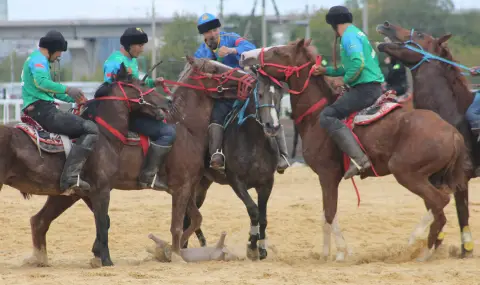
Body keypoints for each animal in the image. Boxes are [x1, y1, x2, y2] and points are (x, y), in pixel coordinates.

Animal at [0, 62, 168, 266]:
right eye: (140, 84)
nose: (168, 102)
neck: (105, 136)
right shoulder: (101, 190)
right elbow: (102, 223)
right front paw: (106, 260)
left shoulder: (85, 192)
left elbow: (105, 221)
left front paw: (97, 255)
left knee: (38, 221)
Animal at [182, 65, 284, 260]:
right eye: (260, 94)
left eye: (279, 96)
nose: (272, 126)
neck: (254, 142)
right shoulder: (236, 181)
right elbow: (253, 211)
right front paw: (251, 246)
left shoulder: (267, 183)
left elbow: (263, 217)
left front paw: (261, 248)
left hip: (202, 185)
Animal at [242, 38, 466, 260]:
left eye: (279, 52)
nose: (245, 56)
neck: (317, 115)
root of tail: (453, 133)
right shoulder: (328, 178)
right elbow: (328, 216)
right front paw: (333, 253)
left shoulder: (327, 174)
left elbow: (329, 214)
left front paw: (336, 253)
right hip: (431, 177)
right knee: (439, 210)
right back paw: (425, 250)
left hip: (406, 172)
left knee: (440, 201)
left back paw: (416, 240)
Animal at [378, 22, 476, 256]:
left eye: (421, 35)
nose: (386, 24)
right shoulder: (429, 177)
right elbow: (433, 205)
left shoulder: (461, 177)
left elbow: (462, 212)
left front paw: (465, 249)